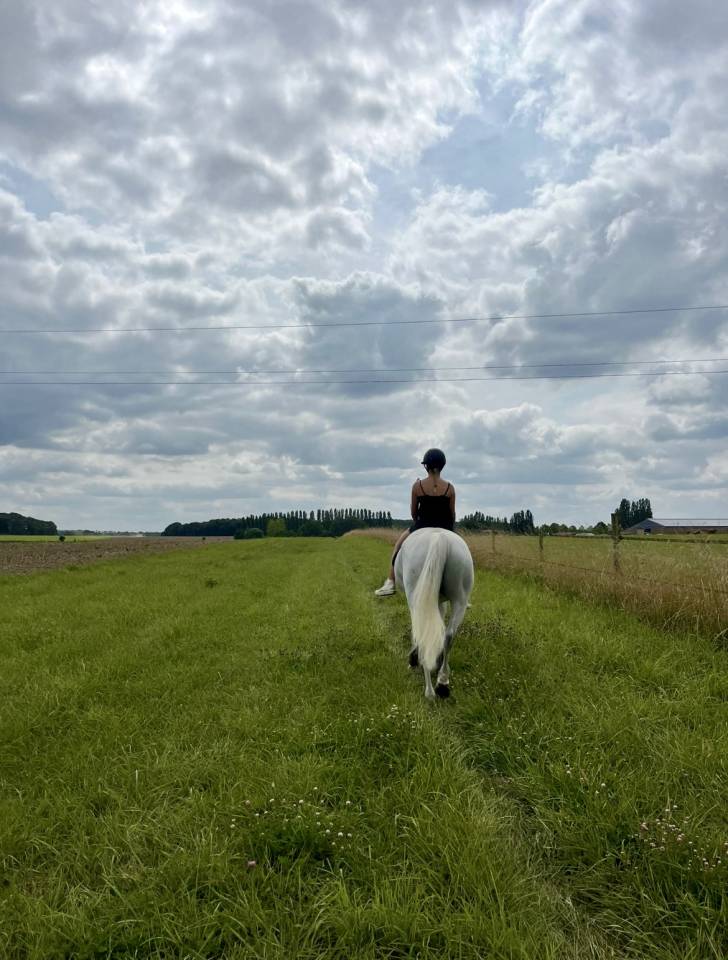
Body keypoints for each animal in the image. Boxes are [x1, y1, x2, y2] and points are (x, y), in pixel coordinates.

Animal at [394, 528, 474, 699]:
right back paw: (442, 683)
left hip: (416, 598)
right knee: (449, 635)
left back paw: (429, 691)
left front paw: (414, 658)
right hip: (459, 600)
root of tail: (440, 538)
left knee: (424, 634)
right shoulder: (439, 601)